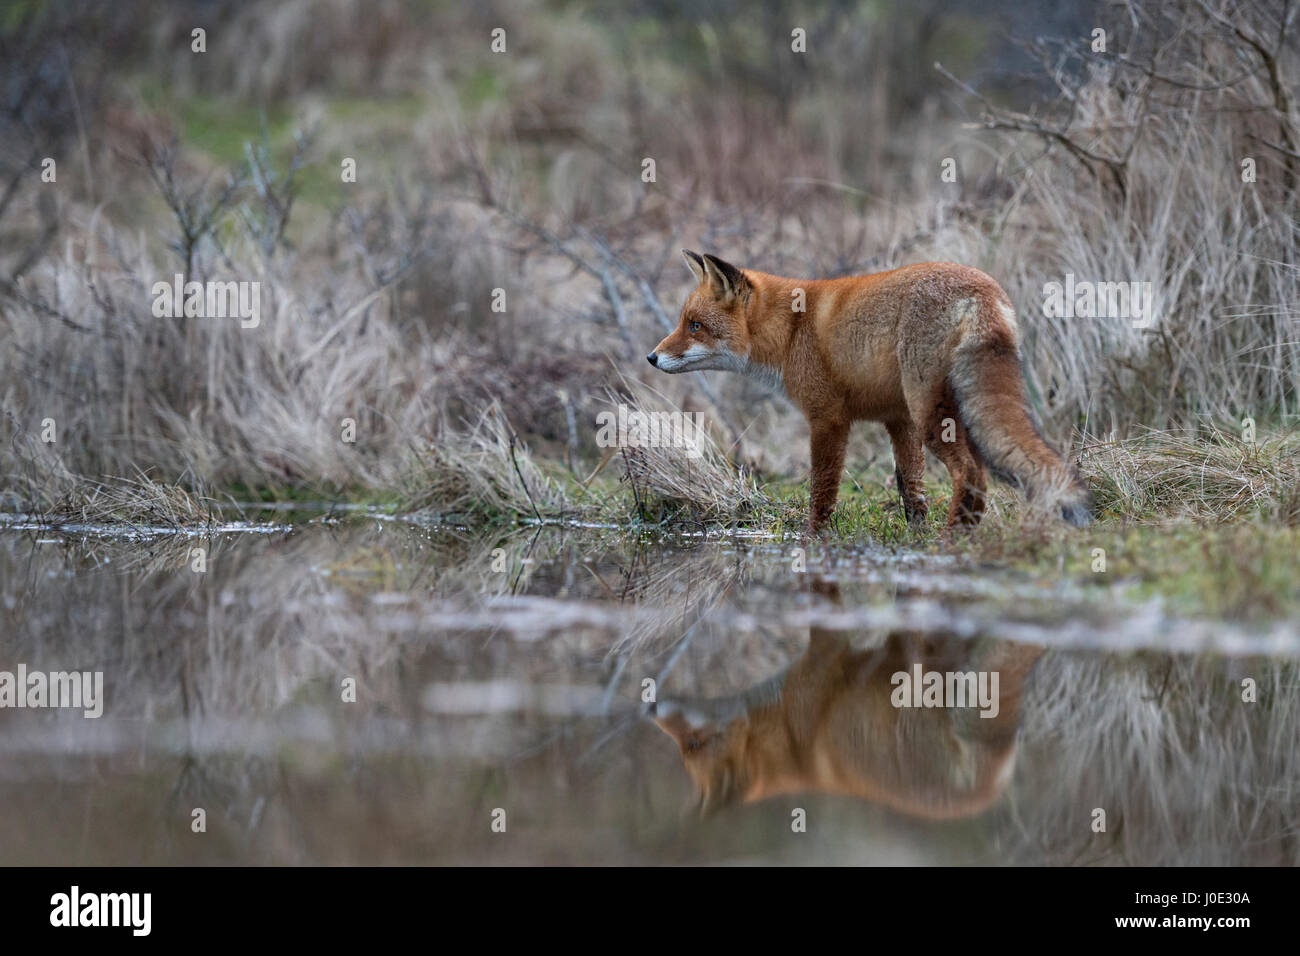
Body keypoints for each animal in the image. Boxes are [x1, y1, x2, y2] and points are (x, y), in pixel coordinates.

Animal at [644, 252, 1092, 530]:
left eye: (695, 326)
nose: (651, 357)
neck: (791, 331)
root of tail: (983, 289)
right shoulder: (898, 419)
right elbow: (911, 491)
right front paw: (915, 540)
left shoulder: (828, 419)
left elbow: (821, 493)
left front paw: (813, 540)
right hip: (934, 410)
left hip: (933, 416)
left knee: (972, 473)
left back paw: (954, 541)